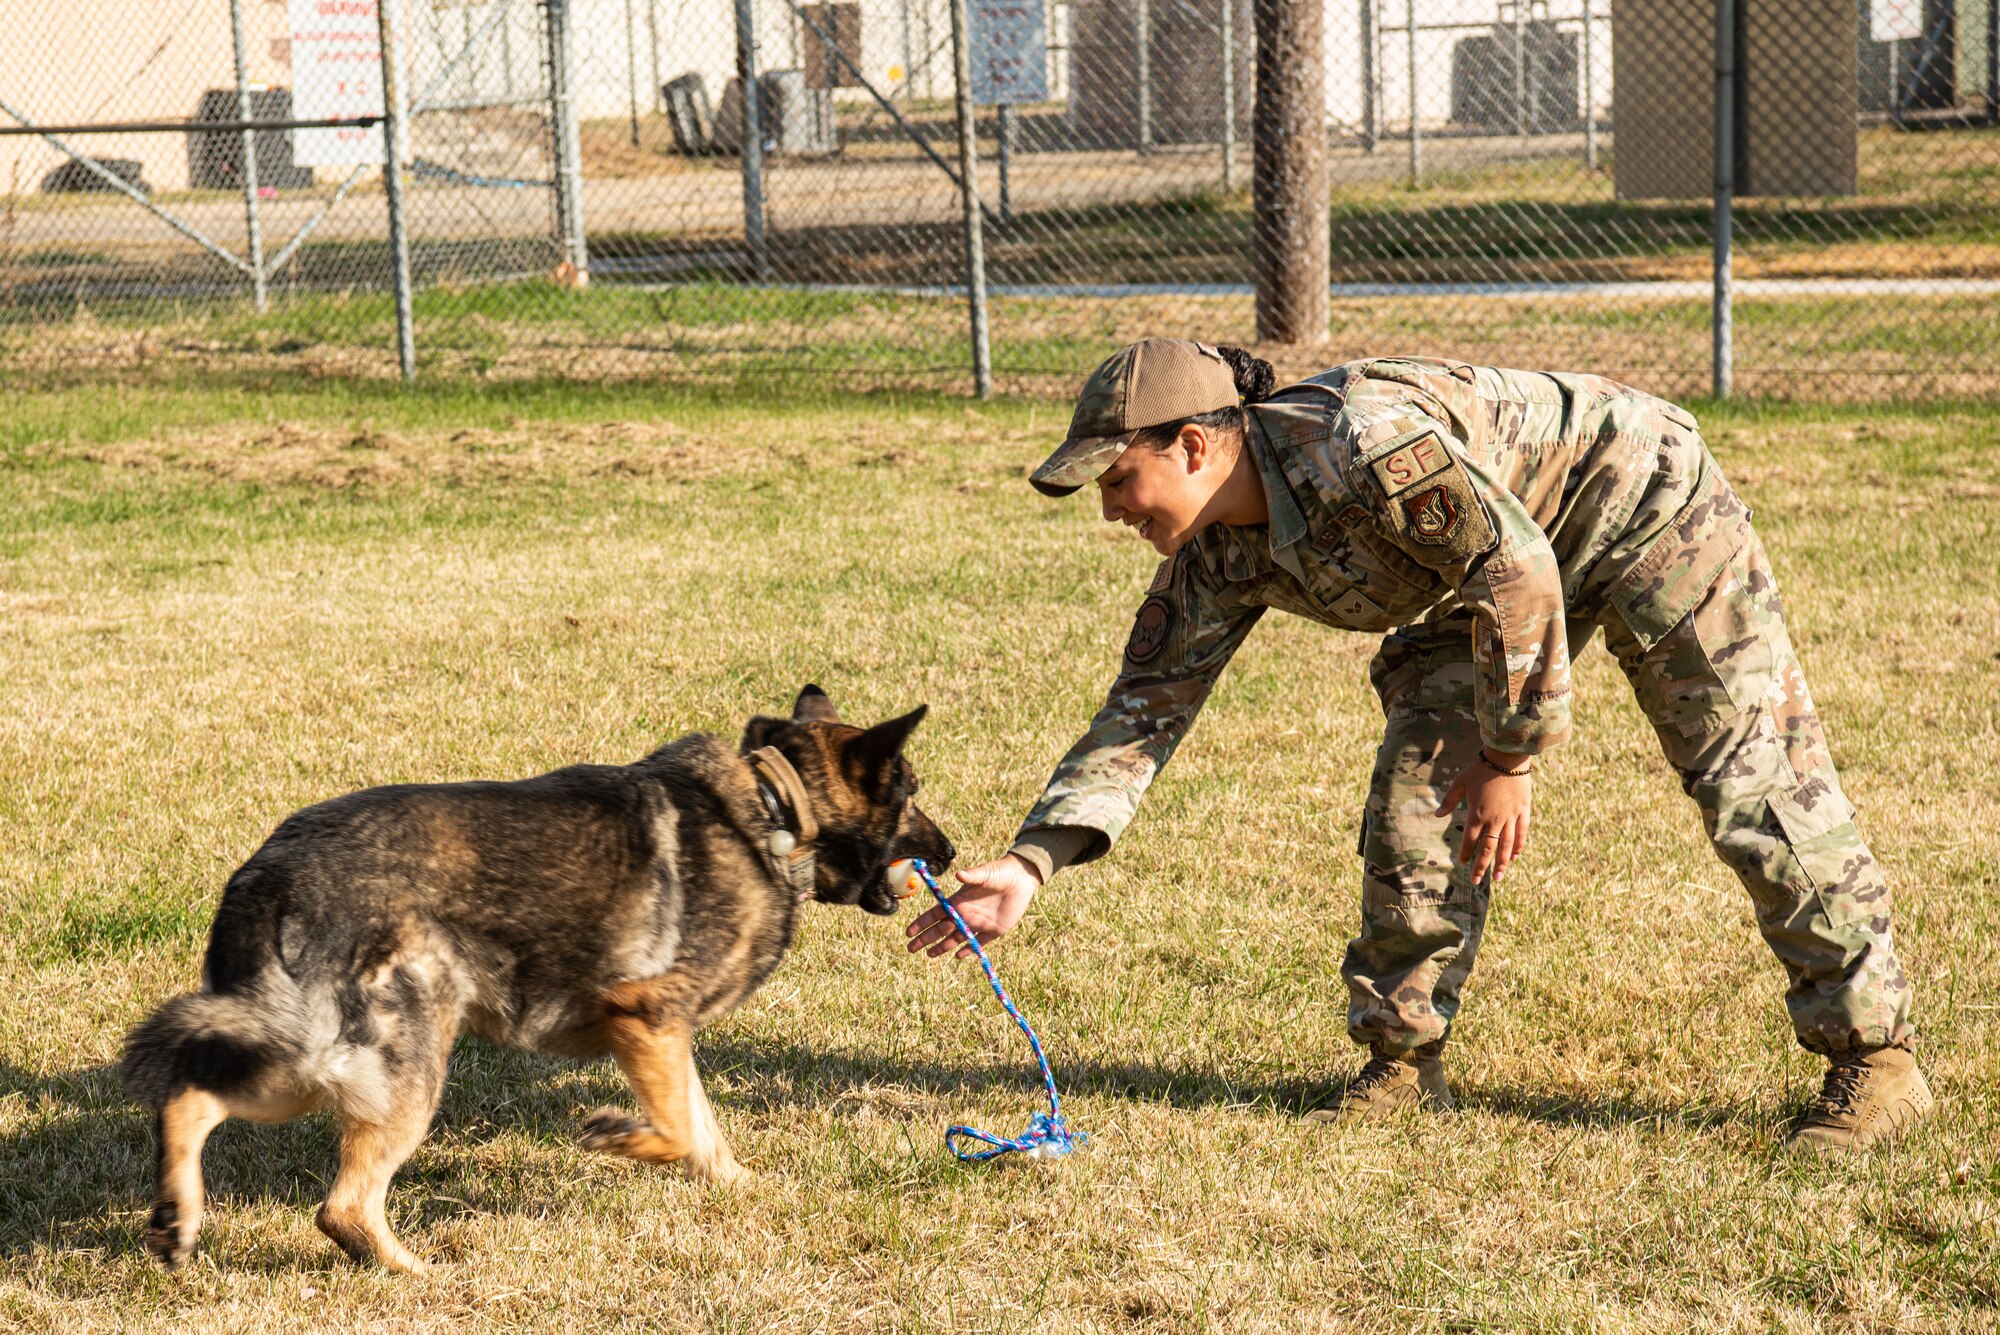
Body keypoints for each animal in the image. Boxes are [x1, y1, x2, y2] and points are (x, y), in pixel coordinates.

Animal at [121, 687, 956, 1271]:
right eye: (913, 790)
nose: (950, 853)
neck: (779, 806)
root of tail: (269, 873)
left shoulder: (667, 1037)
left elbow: (704, 1128)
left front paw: (742, 1186)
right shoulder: (645, 1016)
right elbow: (678, 1128)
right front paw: (617, 1135)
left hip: (310, 1059)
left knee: (192, 1098)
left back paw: (177, 1220)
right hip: (398, 1065)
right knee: (342, 1206)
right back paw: (415, 1271)